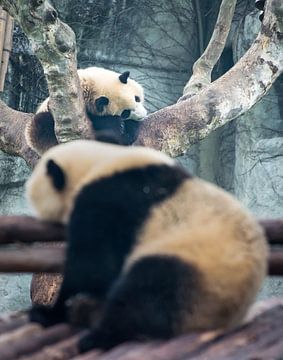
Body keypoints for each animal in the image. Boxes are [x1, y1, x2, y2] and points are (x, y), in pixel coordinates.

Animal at [25, 139, 268, 352]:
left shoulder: (108, 202)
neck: (101, 161)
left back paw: (97, 337)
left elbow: (92, 267)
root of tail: (223, 321)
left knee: (144, 293)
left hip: (197, 269)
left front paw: (50, 312)